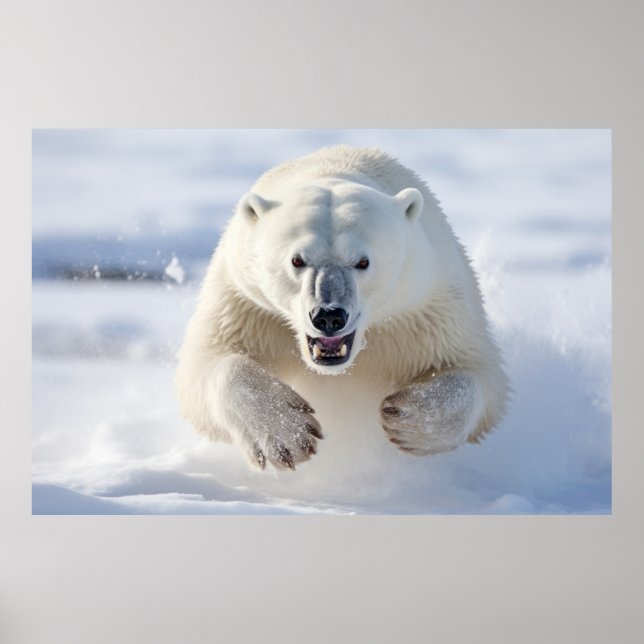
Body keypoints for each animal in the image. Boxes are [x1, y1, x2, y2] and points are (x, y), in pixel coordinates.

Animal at [176, 145, 509, 474]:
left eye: (363, 261)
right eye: (297, 259)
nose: (328, 316)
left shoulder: (426, 307)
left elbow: (479, 375)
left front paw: (408, 418)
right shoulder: (245, 303)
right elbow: (204, 365)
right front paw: (287, 433)